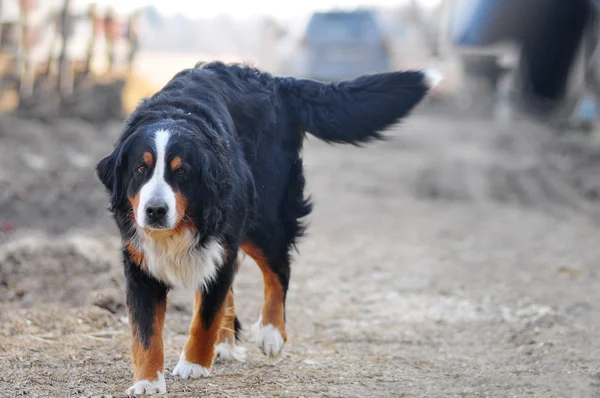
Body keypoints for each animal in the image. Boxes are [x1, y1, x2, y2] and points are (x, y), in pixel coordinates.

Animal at [95, 60, 440, 394]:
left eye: (182, 173)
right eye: (140, 169)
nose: (155, 210)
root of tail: (275, 81)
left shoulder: (222, 241)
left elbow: (205, 317)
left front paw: (193, 364)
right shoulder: (140, 262)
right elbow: (146, 331)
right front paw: (148, 381)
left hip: (263, 219)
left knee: (278, 270)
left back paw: (272, 333)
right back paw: (224, 344)